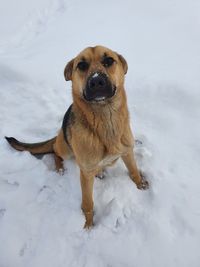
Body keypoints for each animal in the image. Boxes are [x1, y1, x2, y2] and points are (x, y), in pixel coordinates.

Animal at [5, 45, 148, 228]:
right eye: (81, 65)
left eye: (109, 60)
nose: (96, 81)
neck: (105, 121)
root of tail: (59, 134)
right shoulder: (85, 174)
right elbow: (87, 203)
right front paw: (88, 225)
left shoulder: (127, 152)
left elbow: (134, 170)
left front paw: (140, 183)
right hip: (66, 149)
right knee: (55, 151)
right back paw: (60, 168)